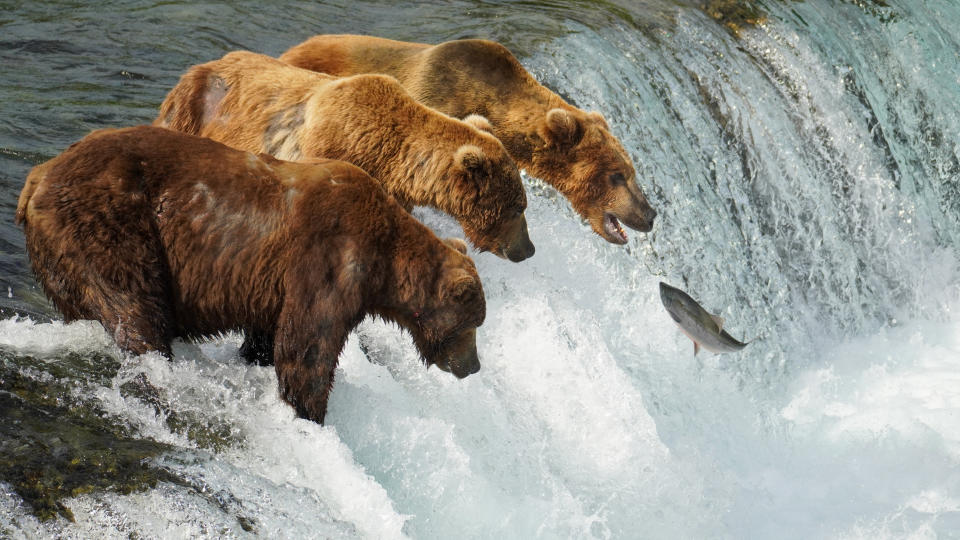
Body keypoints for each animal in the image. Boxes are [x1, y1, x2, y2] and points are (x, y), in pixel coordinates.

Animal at [18, 127, 488, 426]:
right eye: (474, 324)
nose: (474, 366)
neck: (385, 264)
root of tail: (36, 177)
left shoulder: (275, 284)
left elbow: (268, 337)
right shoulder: (329, 257)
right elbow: (307, 349)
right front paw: (309, 414)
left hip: (59, 258)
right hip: (110, 223)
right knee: (133, 304)